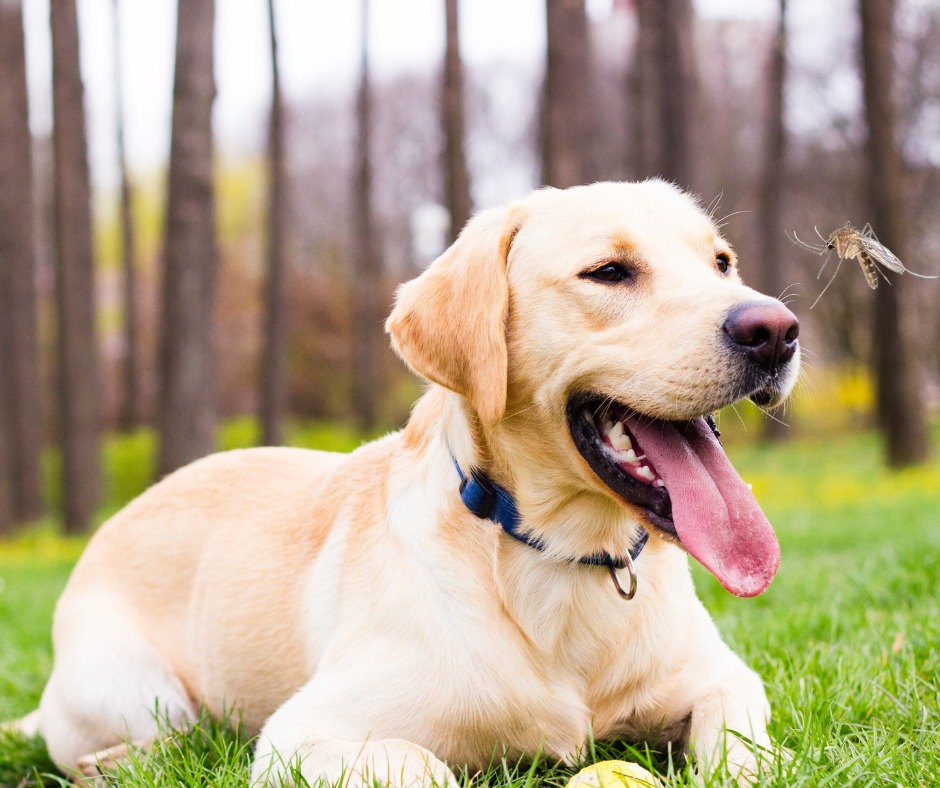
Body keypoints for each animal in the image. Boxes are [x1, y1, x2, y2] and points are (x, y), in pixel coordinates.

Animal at [14, 182, 796, 784]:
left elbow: (743, 741)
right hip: (138, 689)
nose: (777, 329)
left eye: (721, 263)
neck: (564, 557)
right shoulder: (302, 736)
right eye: (609, 272)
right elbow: (426, 763)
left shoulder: (724, 677)